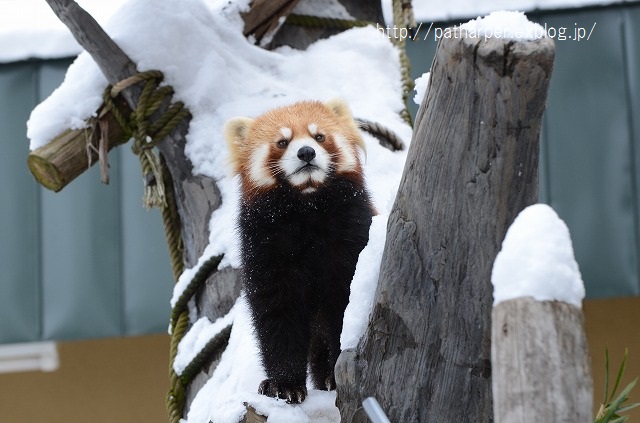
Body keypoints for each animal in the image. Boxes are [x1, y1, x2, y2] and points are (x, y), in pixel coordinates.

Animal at [225, 98, 376, 404]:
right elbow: (276, 314)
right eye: (282, 142)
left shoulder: (351, 236)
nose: (306, 152)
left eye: (319, 137)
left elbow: (338, 309)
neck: (307, 205)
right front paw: (284, 384)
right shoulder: (266, 248)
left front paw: (332, 375)